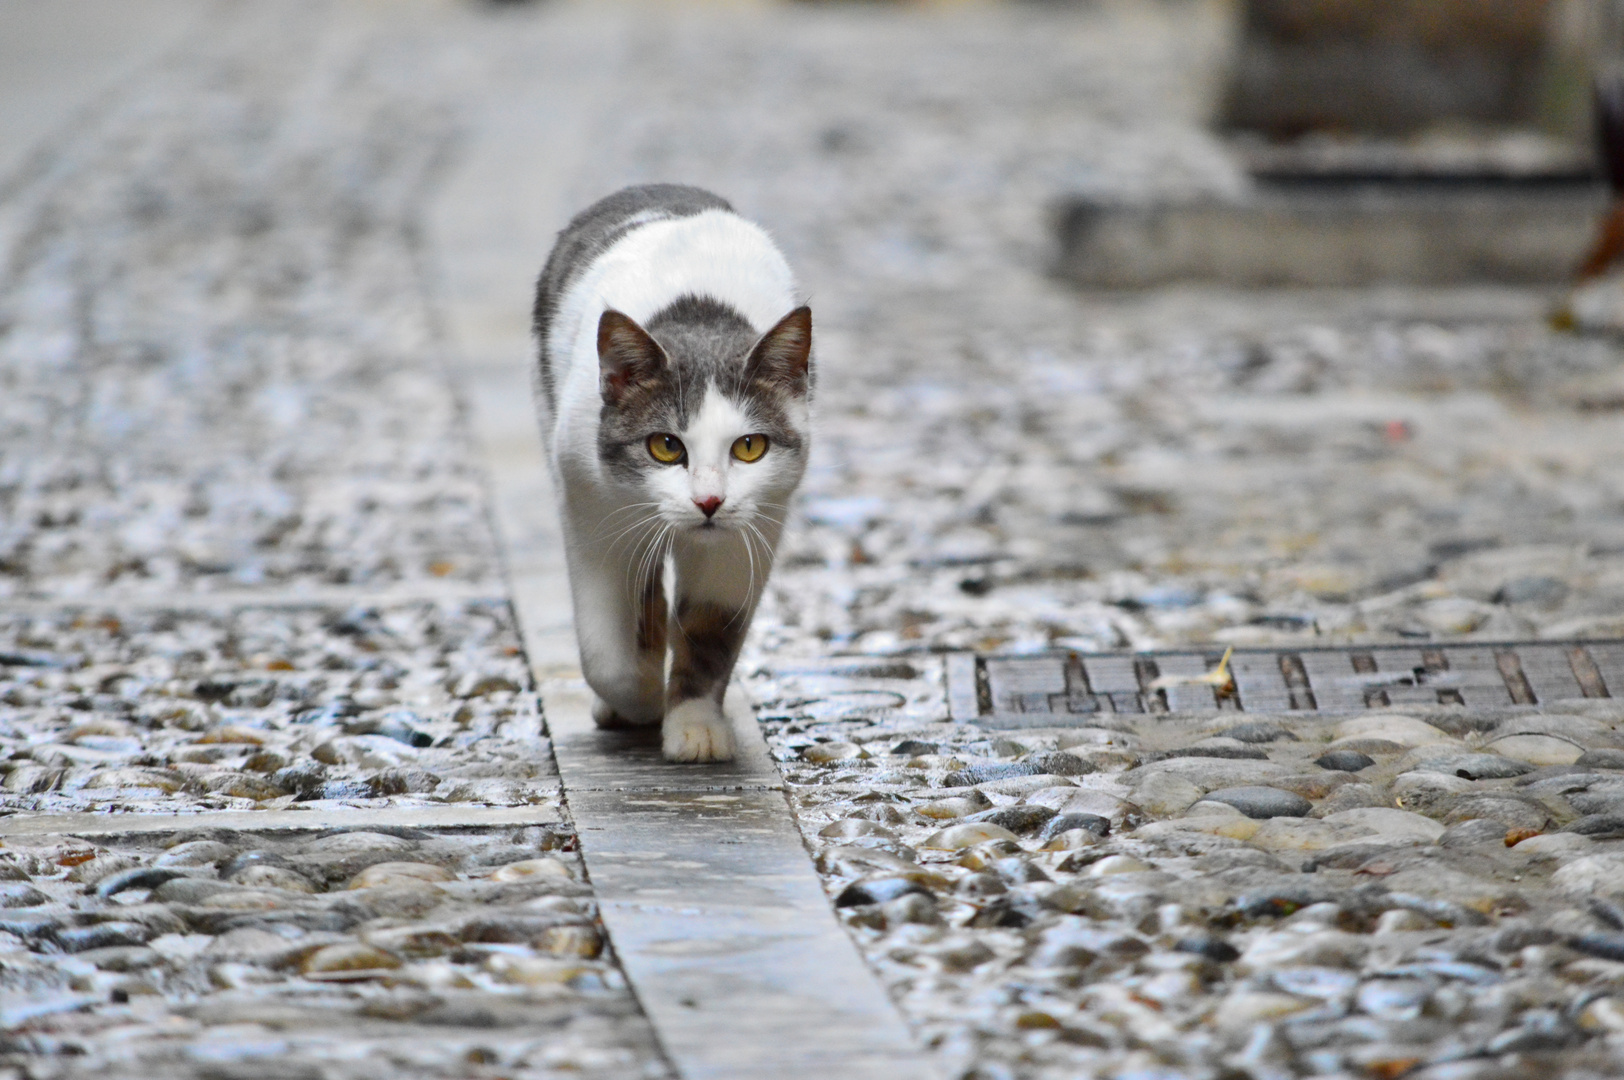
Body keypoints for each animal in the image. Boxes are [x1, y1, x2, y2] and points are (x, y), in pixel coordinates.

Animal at [532, 183, 812, 756]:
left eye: (749, 447)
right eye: (665, 446)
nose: (709, 501)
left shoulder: (747, 535)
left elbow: (711, 630)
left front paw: (694, 724)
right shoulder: (591, 509)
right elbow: (608, 655)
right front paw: (639, 699)